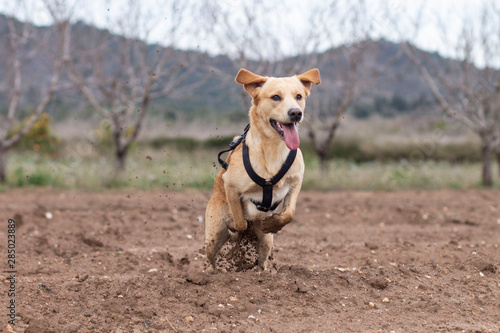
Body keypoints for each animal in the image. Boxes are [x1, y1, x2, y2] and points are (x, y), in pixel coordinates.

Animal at [206, 67, 320, 270]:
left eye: (298, 96)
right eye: (275, 97)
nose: (296, 113)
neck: (273, 148)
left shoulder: (296, 181)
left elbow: (289, 214)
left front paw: (272, 224)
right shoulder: (230, 186)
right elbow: (240, 222)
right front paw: (237, 227)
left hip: (267, 242)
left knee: (262, 260)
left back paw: (262, 271)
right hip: (213, 236)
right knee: (212, 258)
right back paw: (215, 272)